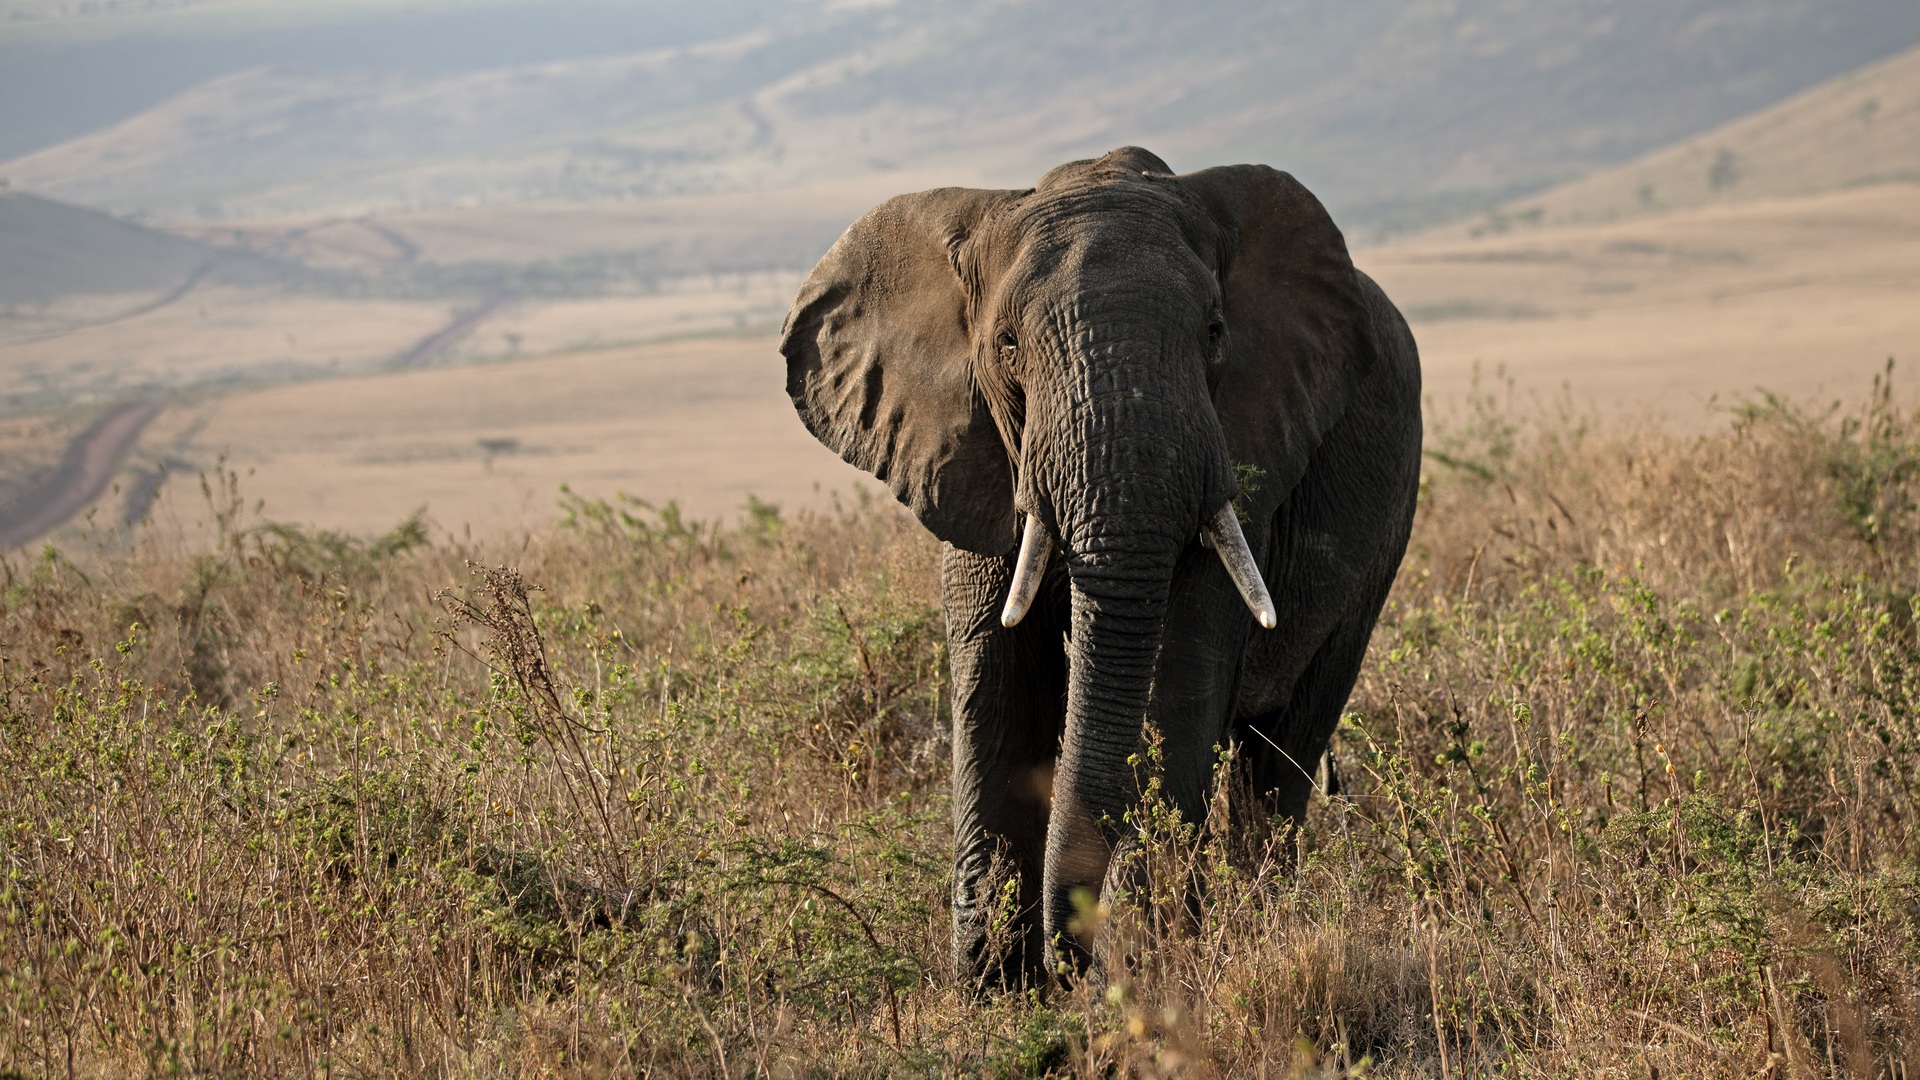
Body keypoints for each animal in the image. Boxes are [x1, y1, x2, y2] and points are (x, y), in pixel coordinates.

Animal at [781, 146, 1422, 984]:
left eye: (1215, 331)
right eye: (1009, 346)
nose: (1071, 956)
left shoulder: (1243, 448)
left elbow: (1176, 681)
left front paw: (1146, 970)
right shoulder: (970, 456)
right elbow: (998, 682)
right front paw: (996, 991)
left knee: (1283, 753)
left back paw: (1259, 934)